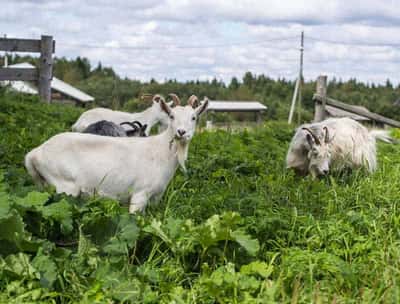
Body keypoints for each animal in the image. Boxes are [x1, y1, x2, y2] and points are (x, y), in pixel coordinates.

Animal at [24, 94, 208, 213]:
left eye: (194, 117)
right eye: (171, 115)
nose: (181, 132)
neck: (160, 149)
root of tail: (35, 153)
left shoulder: (155, 198)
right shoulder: (140, 195)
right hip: (65, 187)